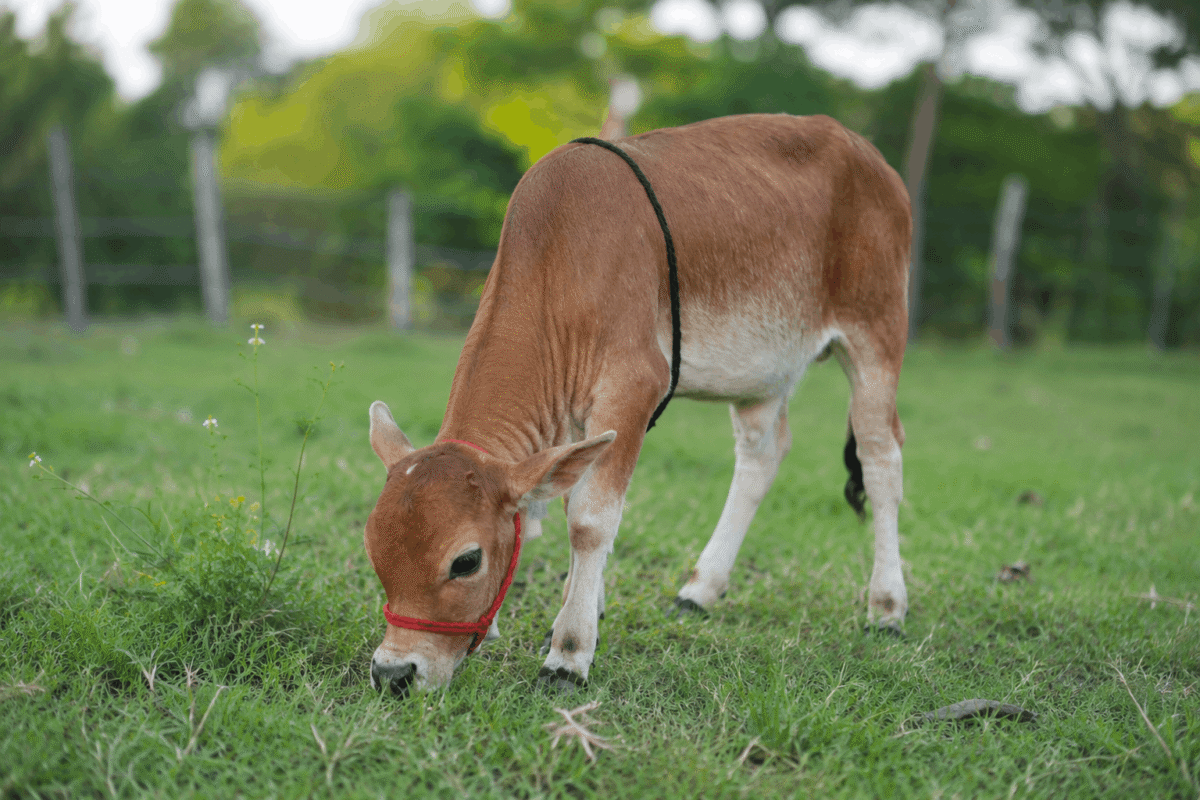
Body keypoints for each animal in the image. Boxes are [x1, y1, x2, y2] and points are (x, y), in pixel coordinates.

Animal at [365, 113, 911, 696]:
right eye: (373, 547)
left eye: (465, 561)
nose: (394, 672)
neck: (558, 254)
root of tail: (868, 154)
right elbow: (564, 499)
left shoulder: (633, 386)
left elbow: (589, 520)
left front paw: (569, 651)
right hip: (763, 370)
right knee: (763, 455)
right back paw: (701, 588)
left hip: (876, 330)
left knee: (880, 457)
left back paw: (887, 606)